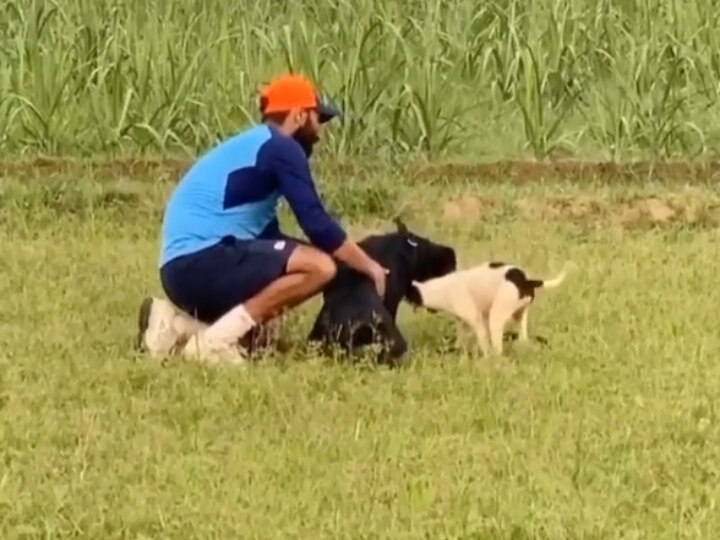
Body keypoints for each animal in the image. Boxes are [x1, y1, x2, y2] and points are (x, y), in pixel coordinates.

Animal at [408, 260, 576, 356]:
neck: (439, 288)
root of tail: (527, 281)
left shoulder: (475, 318)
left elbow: (482, 340)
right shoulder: (464, 321)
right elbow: (461, 337)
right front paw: (456, 350)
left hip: (496, 316)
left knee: (498, 349)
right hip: (519, 315)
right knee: (523, 337)